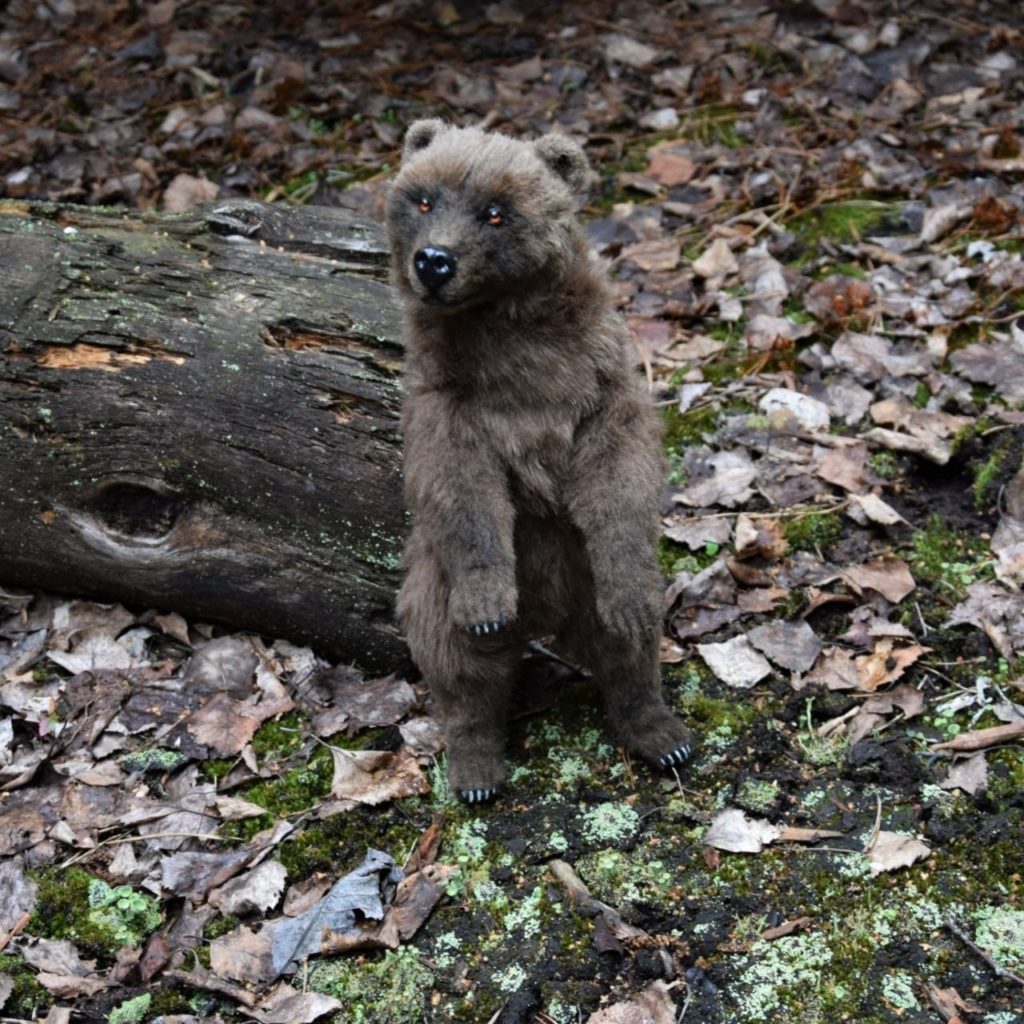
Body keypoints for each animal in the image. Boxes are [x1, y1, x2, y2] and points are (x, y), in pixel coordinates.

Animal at [387, 119, 693, 802]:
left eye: (496, 211)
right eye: (423, 199)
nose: (434, 260)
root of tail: (546, 621)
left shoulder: (598, 376)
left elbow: (623, 468)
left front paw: (632, 599)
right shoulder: (448, 402)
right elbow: (461, 489)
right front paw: (486, 608)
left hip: (582, 570)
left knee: (627, 651)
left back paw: (664, 734)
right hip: (435, 577)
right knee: (458, 667)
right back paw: (476, 769)